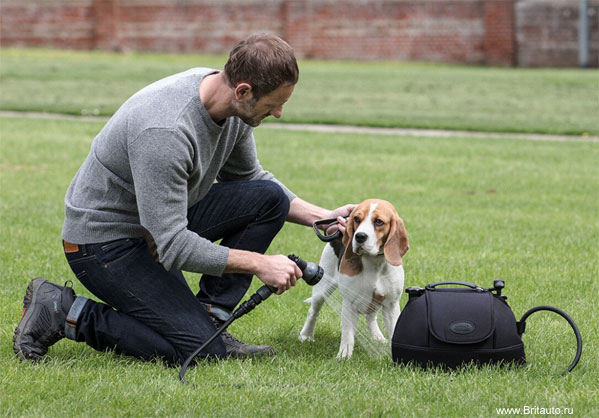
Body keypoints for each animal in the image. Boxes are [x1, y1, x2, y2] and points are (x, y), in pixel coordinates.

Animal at [298, 199, 408, 360]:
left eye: (379, 222)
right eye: (356, 219)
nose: (360, 236)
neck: (374, 263)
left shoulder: (391, 304)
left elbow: (394, 330)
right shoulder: (349, 303)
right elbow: (348, 334)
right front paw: (344, 356)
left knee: (371, 317)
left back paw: (377, 337)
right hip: (321, 287)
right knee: (313, 312)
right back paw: (306, 335)